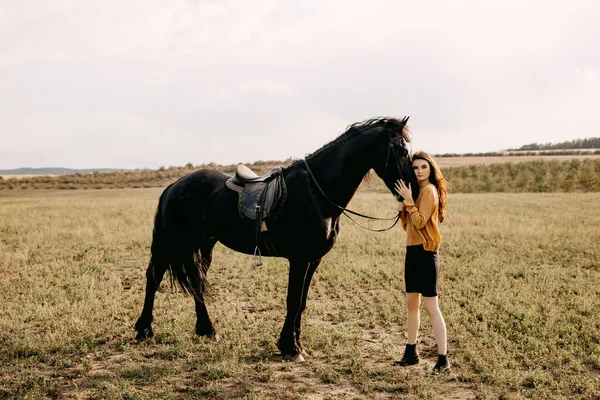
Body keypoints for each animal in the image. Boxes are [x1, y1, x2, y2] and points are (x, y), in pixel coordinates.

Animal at [135, 116, 418, 362]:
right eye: (401, 150)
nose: (413, 189)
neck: (316, 192)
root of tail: (174, 186)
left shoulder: (313, 260)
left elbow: (301, 303)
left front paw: (297, 344)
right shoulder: (299, 259)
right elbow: (293, 301)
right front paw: (290, 348)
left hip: (204, 243)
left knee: (196, 280)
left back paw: (207, 329)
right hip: (170, 242)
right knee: (154, 278)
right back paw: (144, 330)